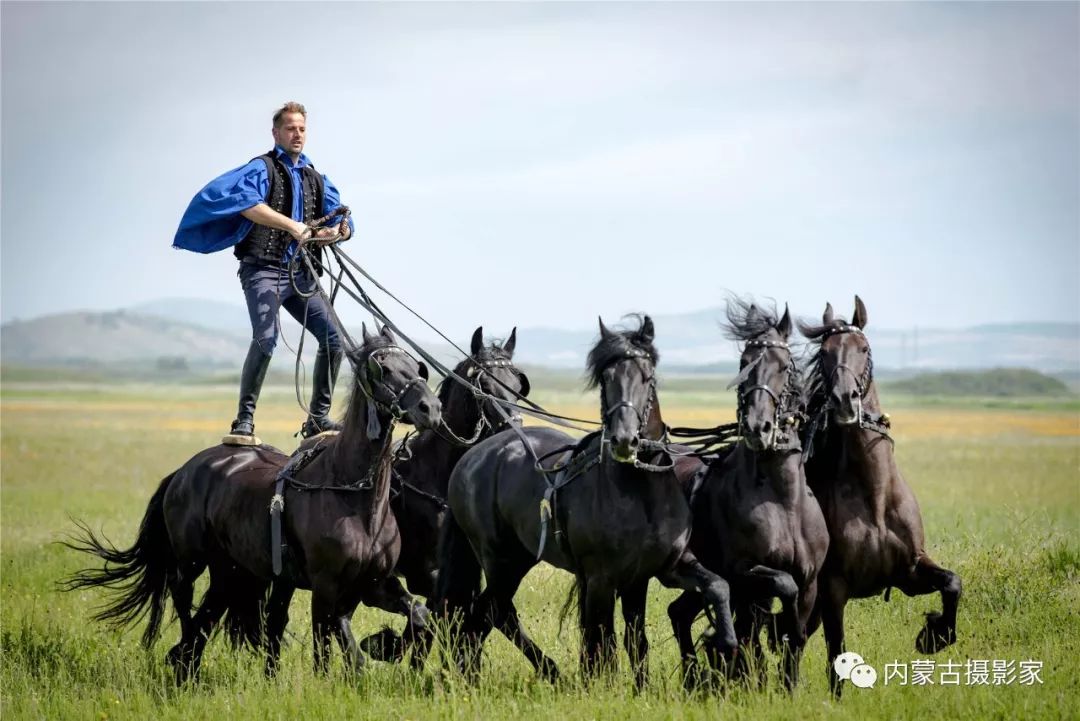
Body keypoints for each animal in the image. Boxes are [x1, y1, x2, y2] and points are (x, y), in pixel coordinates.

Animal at [62, 323, 442, 677]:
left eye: (415, 366)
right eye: (383, 369)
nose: (431, 408)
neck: (354, 497)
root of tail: (184, 471)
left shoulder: (373, 584)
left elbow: (415, 616)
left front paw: (382, 646)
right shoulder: (325, 586)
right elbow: (326, 648)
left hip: (230, 570)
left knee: (210, 614)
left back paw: (188, 663)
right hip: (191, 561)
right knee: (186, 607)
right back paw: (186, 664)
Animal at [434, 315, 738, 686]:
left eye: (647, 377)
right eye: (605, 379)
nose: (625, 439)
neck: (639, 488)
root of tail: (472, 457)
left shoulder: (658, 570)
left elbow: (710, 591)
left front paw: (723, 642)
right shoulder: (601, 580)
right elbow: (601, 643)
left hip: (519, 557)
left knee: (487, 614)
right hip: (502, 561)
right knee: (492, 611)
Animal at [665, 300, 825, 690]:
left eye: (784, 366)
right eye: (743, 364)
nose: (757, 427)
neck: (783, 502)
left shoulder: (810, 580)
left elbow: (796, 637)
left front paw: (787, 685)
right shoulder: (744, 574)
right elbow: (780, 591)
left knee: (679, 612)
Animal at [803, 295, 963, 695]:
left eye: (864, 349)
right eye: (825, 353)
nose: (845, 401)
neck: (874, 496)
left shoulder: (909, 571)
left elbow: (952, 583)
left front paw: (933, 634)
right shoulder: (833, 589)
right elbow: (836, 656)